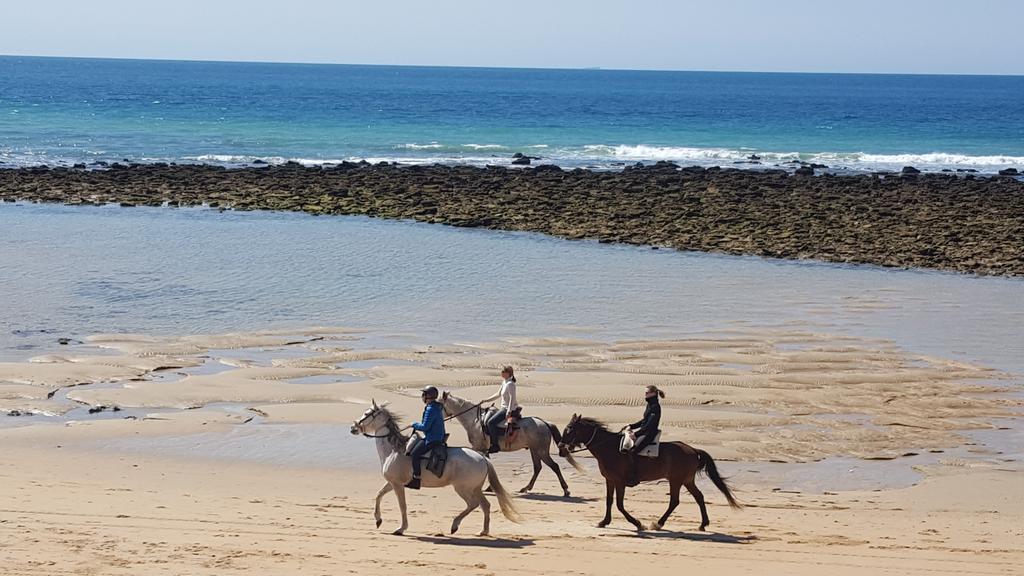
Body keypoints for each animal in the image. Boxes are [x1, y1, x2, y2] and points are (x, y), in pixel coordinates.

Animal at [350, 399, 520, 532]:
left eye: (367, 414)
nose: (353, 428)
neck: (394, 450)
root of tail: (482, 458)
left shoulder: (397, 485)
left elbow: (402, 505)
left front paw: (401, 528)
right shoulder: (392, 483)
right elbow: (379, 495)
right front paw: (378, 520)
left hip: (463, 488)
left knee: (473, 504)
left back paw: (455, 525)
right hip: (475, 488)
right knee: (485, 505)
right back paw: (483, 531)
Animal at [557, 412, 741, 528]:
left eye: (570, 428)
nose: (560, 448)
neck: (608, 447)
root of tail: (693, 449)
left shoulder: (620, 482)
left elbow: (619, 504)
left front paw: (638, 524)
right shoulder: (610, 480)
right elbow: (609, 501)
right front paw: (604, 522)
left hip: (676, 481)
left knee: (675, 501)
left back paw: (658, 523)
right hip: (687, 480)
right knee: (699, 497)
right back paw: (702, 524)